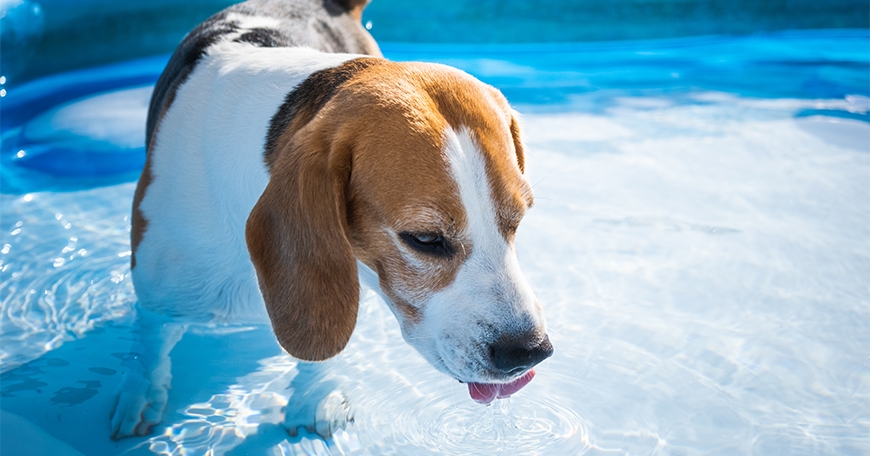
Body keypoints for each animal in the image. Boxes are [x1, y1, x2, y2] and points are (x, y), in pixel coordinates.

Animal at [112, 0, 556, 440]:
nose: (530, 351)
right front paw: (141, 392)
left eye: (517, 220)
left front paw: (313, 398)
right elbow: (150, 339)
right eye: (424, 239)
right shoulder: (158, 294)